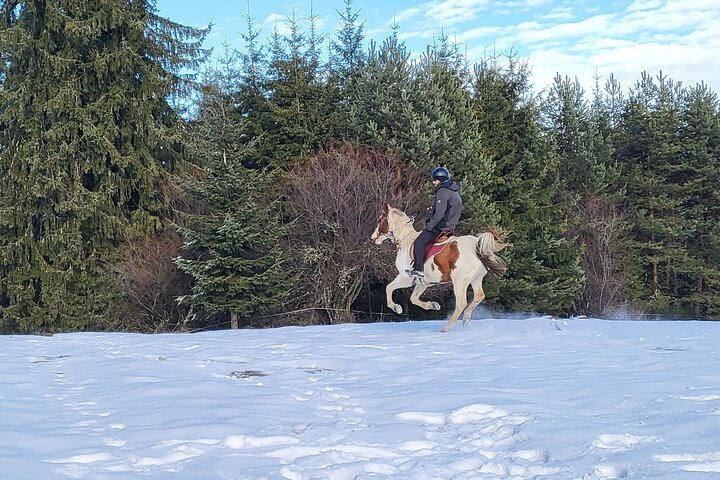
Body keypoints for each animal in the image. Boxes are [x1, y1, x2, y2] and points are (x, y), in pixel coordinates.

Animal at [370, 203, 508, 332]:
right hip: (476, 278)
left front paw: (397, 308)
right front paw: (433, 305)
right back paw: (466, 320)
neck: (405, 241)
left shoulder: (406, 278)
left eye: (379, 220)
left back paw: (447, 327)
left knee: (461, 303)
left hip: (460, 281)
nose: (373, 238)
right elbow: (413, 298)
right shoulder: (422, 282)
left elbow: (389, 288)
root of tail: (477, 246)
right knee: (479, 296)